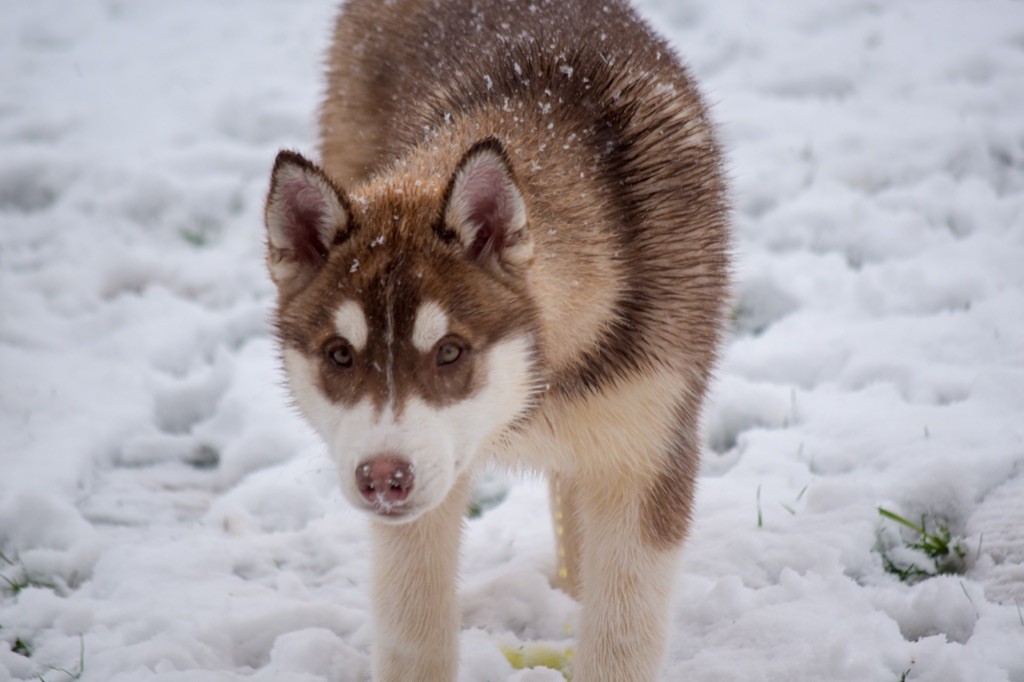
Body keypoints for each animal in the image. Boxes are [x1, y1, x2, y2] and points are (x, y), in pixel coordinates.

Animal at [262, 0, 729, 675]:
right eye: (340, 355)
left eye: (450, 351)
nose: (382, 478)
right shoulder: (424, 502)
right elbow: (414, 636)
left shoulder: (647, 454)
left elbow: (620, 640)